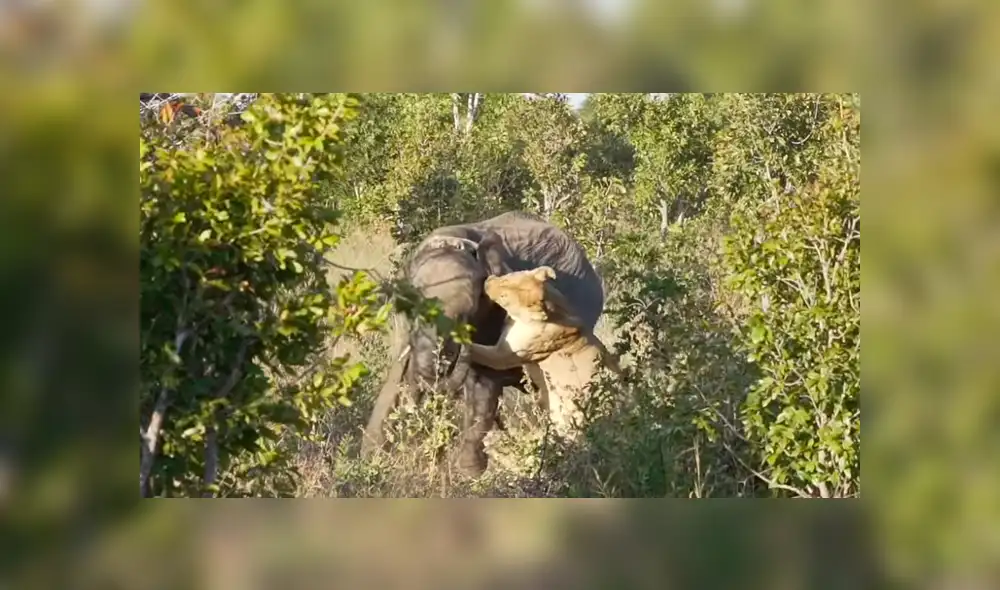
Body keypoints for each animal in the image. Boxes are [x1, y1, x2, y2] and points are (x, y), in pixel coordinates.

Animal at [360, 210, 605, 476]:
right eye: (413, 303)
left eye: (470, 310)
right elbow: (397, 375)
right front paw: (372, 461)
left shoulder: (495, 318)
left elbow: (483, 380)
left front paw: (469, 474)